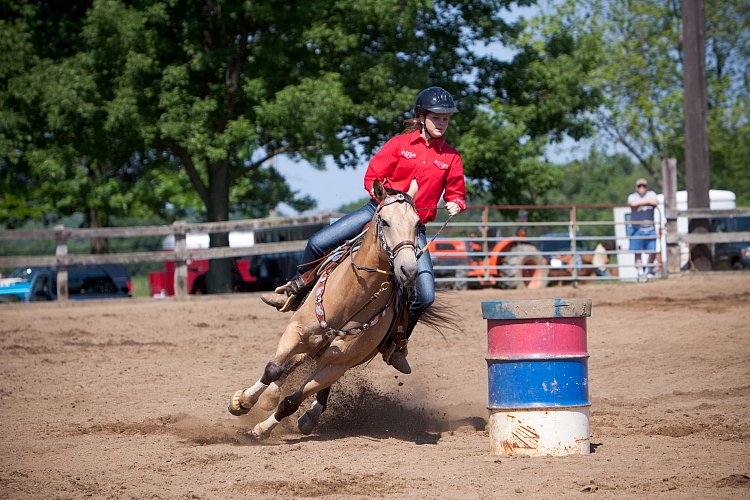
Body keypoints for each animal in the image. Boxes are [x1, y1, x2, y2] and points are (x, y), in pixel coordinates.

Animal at [226, 179, 426, 438]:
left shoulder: (338, 364)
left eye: (418, 224)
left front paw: (262, 429)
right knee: (289, 365)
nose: (408, 270)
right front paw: (243, 401)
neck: (348, 299)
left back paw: (308, 413)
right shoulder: (296, 332)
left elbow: (291, 402)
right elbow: (273, 369)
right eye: (385, 221)